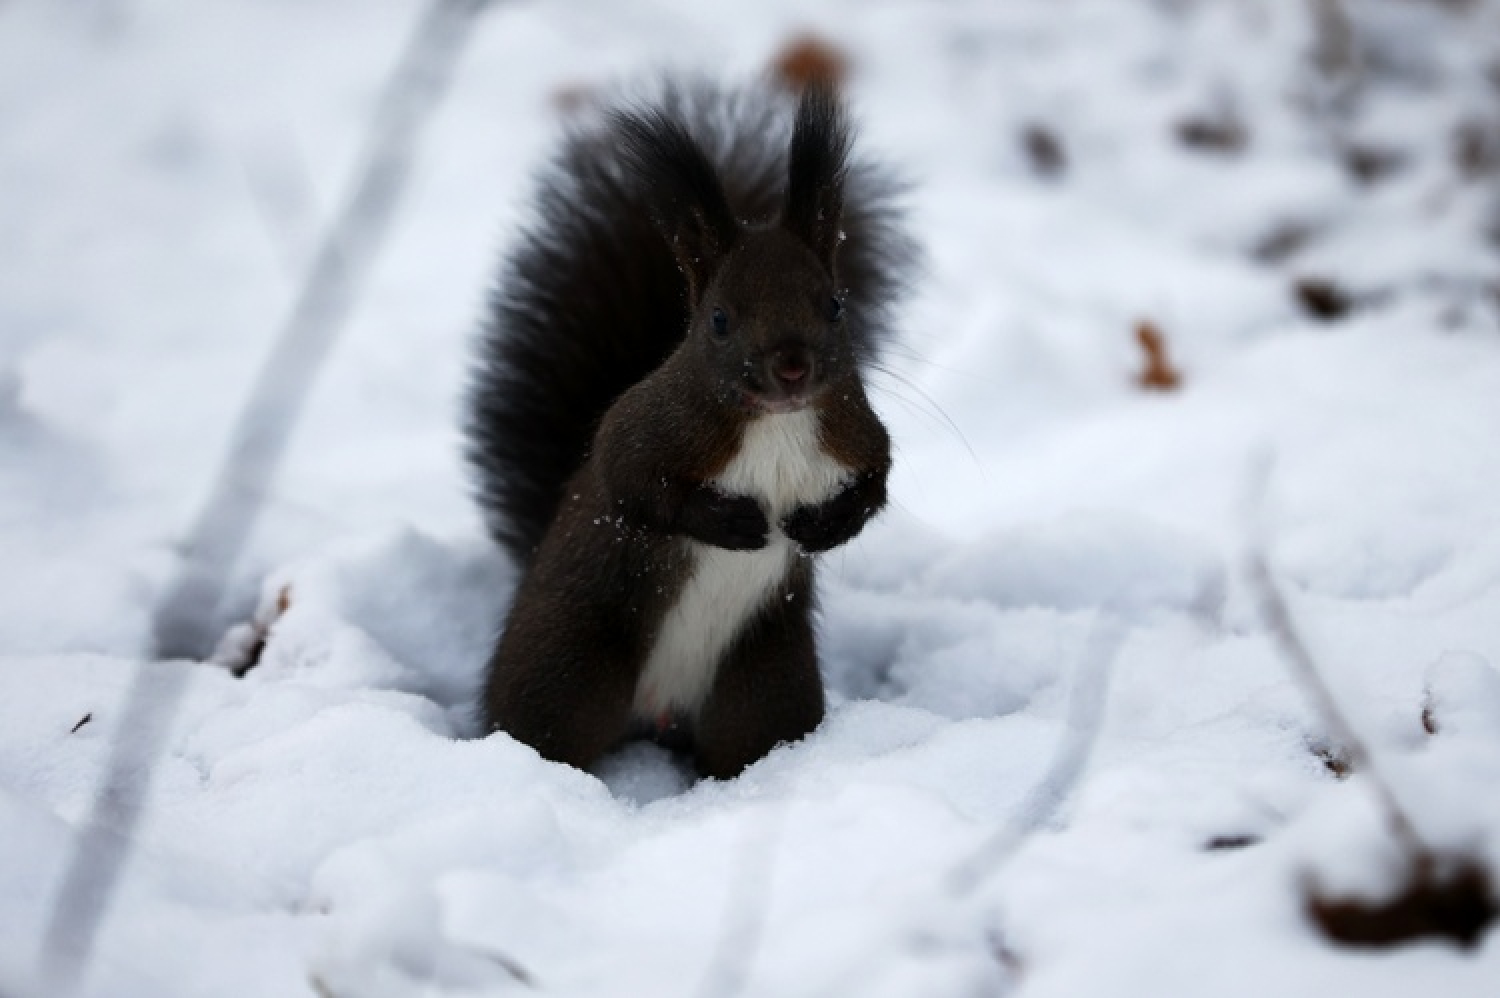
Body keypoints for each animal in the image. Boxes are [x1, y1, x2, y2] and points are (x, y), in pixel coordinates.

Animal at [468, 78, 912, 780]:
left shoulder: (857, 433)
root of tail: (657, 710)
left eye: (835, 305)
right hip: (566, 672)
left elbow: (877, 481)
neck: (776, 424)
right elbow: (632, 484)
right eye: (719, 319)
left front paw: (823, 527)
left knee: (747, 741)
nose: (792, 366)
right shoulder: (645, 428)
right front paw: (733, 523)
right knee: (542, 732)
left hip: (763, 689)